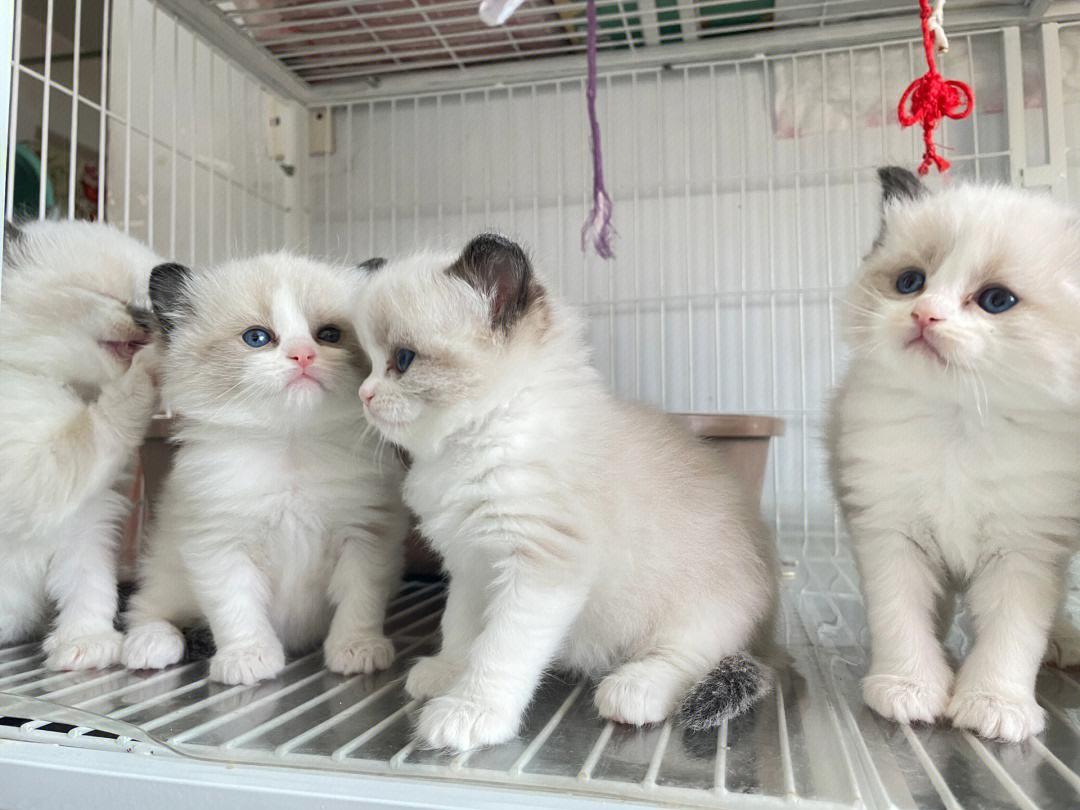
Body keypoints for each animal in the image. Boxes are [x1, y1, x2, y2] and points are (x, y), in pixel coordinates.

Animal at [0, 220, 160, 669]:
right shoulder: (35, 473)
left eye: (150, 301)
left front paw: (85, 644)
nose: (148, 320)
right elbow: (103, 421)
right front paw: (151, 366)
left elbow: (90, 587)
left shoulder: (88, 521)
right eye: (108, 295)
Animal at [122, 253, 409, 685]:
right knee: (148, 608)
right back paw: (148, 643)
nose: (303, 355)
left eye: (328, 335)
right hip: (165, 569)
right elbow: (236, 609)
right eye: (257, 338)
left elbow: (360, 601)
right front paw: (248, 659)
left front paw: (356, 648)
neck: (290, 446)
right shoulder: (219, 544)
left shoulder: (366, 535)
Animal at [351, 234, 778, 751]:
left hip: (695, 612)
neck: (479, 440)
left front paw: (470, 713)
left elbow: (499, 651)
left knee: (688, 656)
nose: (364, 395)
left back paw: (633, 691)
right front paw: (447, 674)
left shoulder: (539, 568)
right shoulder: (472, 567)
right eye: (367, 362)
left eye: (403, 360)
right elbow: (460, 631)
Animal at [829, 167, 1080, 743]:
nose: (924, 315)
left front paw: (995, 704)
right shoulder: (891, 531)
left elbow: (1014, 635)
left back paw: (1064, 640)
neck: (959, 424)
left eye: (996, 300)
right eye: (909, 283)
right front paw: (909, 686)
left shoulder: (1026, 547)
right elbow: (901, 616)